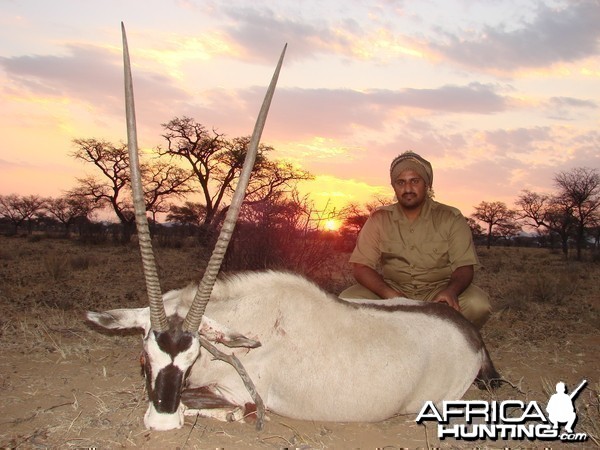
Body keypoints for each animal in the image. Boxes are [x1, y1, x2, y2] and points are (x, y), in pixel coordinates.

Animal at [86, 22, 500, 430]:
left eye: (191, 357)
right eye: (146, 355)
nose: (162, 421)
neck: (243, 318)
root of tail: (469, 334)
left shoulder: (239, 390)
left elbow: (227, 406)